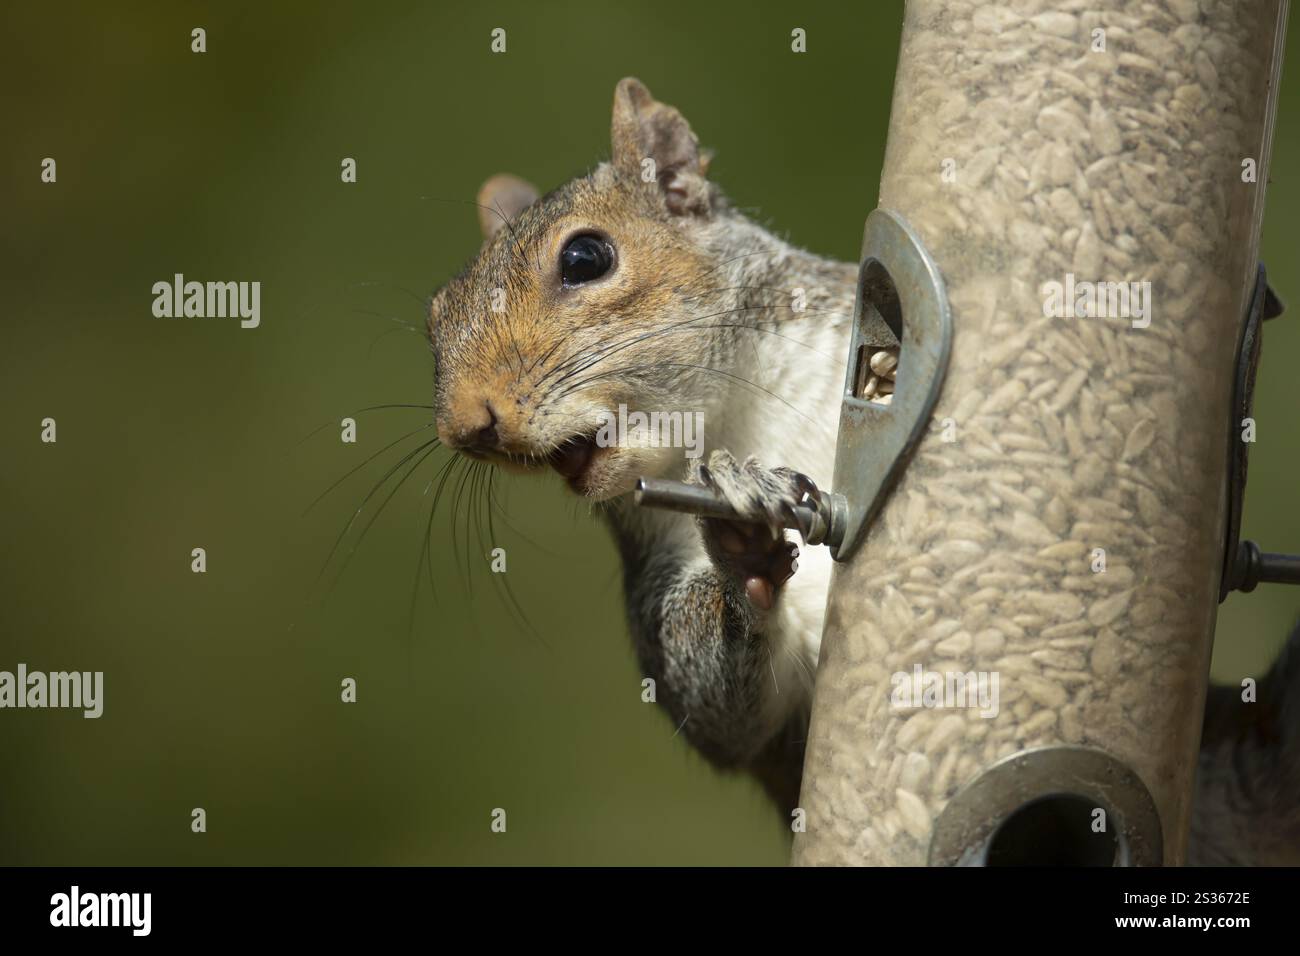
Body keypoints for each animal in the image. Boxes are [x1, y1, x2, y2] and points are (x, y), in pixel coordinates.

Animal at [428, 77, 1300, 862]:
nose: (467, 426)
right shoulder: (658, 579)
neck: (736, 414)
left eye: (586, 256)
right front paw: (742, 549)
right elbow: (719, 709)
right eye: (434, 319)